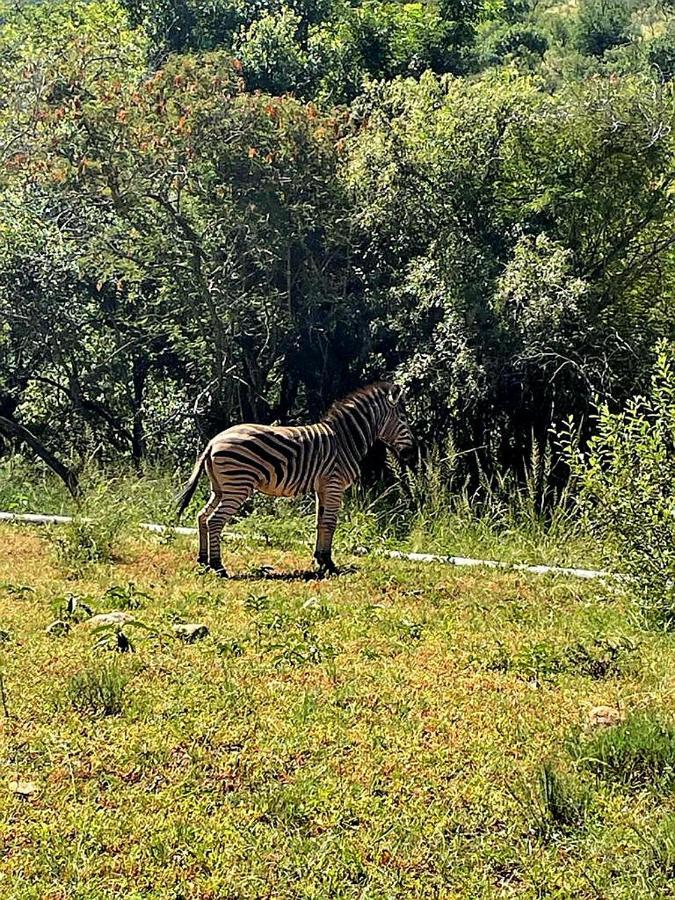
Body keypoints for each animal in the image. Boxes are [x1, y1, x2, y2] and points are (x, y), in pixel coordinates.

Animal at [174, 380, 414, 576]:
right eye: (403, 418)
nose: (411, 452)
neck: (344, 440)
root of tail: (213, 442)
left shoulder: (323, 488)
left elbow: (320, 522)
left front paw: (321, 560)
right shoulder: (334, 484)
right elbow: (330, 523)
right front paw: (329, 564)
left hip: (220, 487)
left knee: (202, 516)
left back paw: (203, 561)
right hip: (237, 486)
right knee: (214, 520)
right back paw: (218, 566)